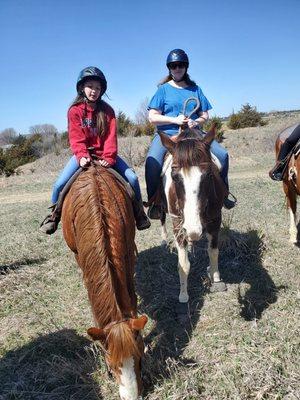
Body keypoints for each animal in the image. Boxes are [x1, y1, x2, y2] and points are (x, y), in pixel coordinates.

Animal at [159, 125, 227, 304]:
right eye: (174, 176)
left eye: (209, 175)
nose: (193, 229)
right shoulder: (177, 224)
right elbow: (183, 263)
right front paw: (183, 294)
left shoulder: (215, 219)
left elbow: (213, 252)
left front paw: (216, 277)